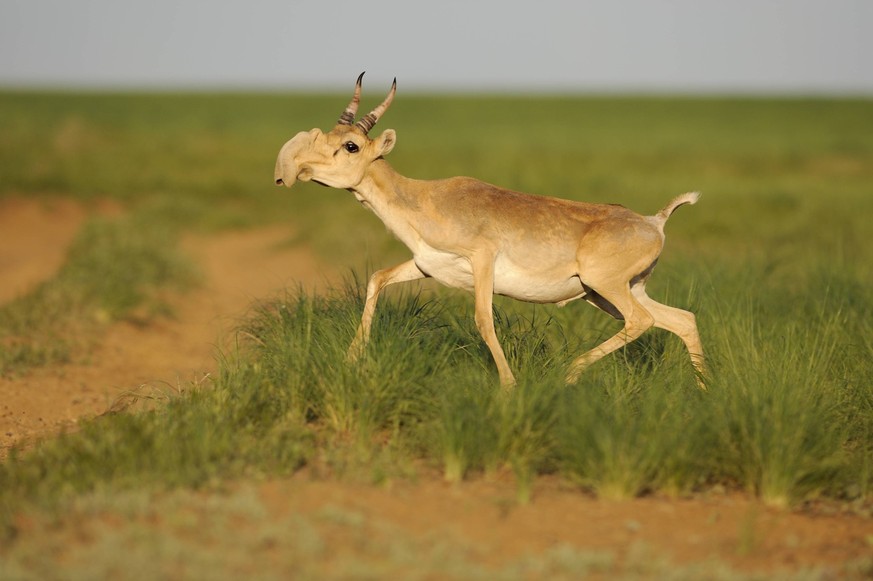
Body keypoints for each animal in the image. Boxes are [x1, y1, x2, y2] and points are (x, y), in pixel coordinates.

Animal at [276, 75, 704, 388]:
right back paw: (703, 392)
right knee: (682, 319)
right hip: (612, 293)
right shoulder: (426, 266)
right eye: (327, 136)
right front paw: (352, 360)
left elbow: (483, 319)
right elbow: (377, 278)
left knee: (642, 321)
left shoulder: (482, 261)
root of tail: (654, 222)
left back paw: (569, 373)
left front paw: (509, 386)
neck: (425, 198)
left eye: (350, 146)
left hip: (605, 287)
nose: (296, 170)